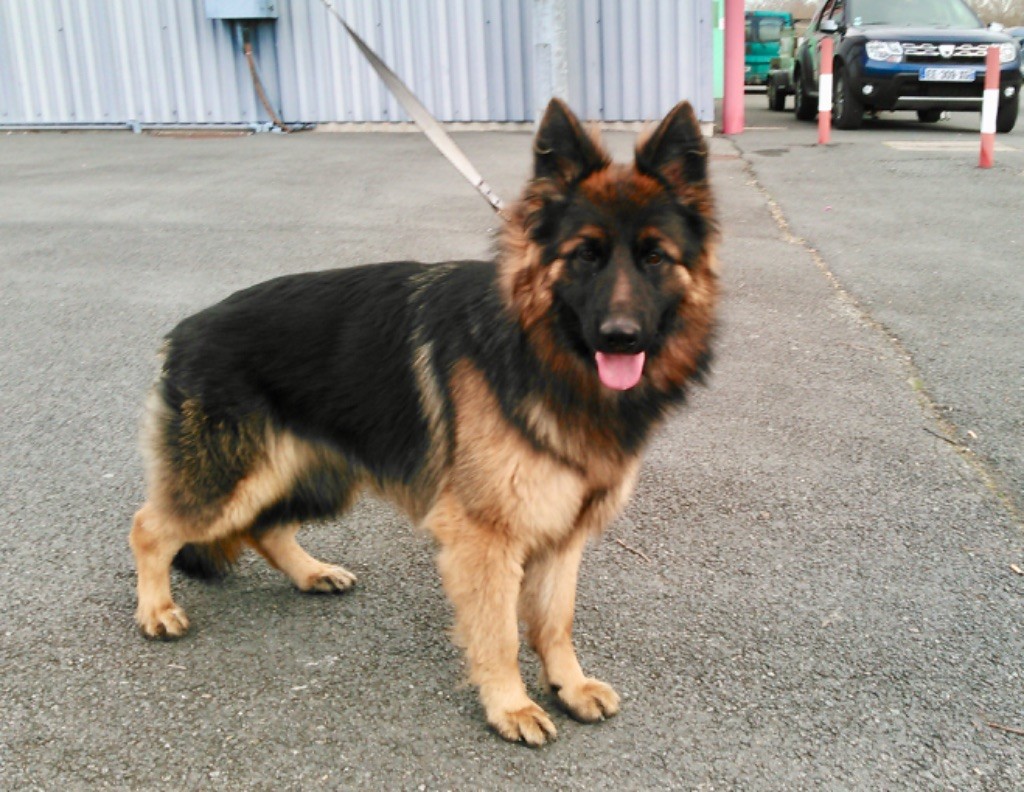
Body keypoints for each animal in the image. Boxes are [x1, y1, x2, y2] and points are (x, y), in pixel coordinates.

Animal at [128, 97, 716, 741]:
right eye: (586, 255)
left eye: (654, 257)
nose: (621, 337)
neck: (542, 356)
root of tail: (185, 331)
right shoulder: (486, 535)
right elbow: (500, 632)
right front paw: (510, 706)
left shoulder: (563, 530)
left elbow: (554, 620)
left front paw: (569, 684)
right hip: (232, 481)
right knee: (149, 526)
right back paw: (156, 609)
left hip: (310, 477)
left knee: (264, 527)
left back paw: (311, 573)